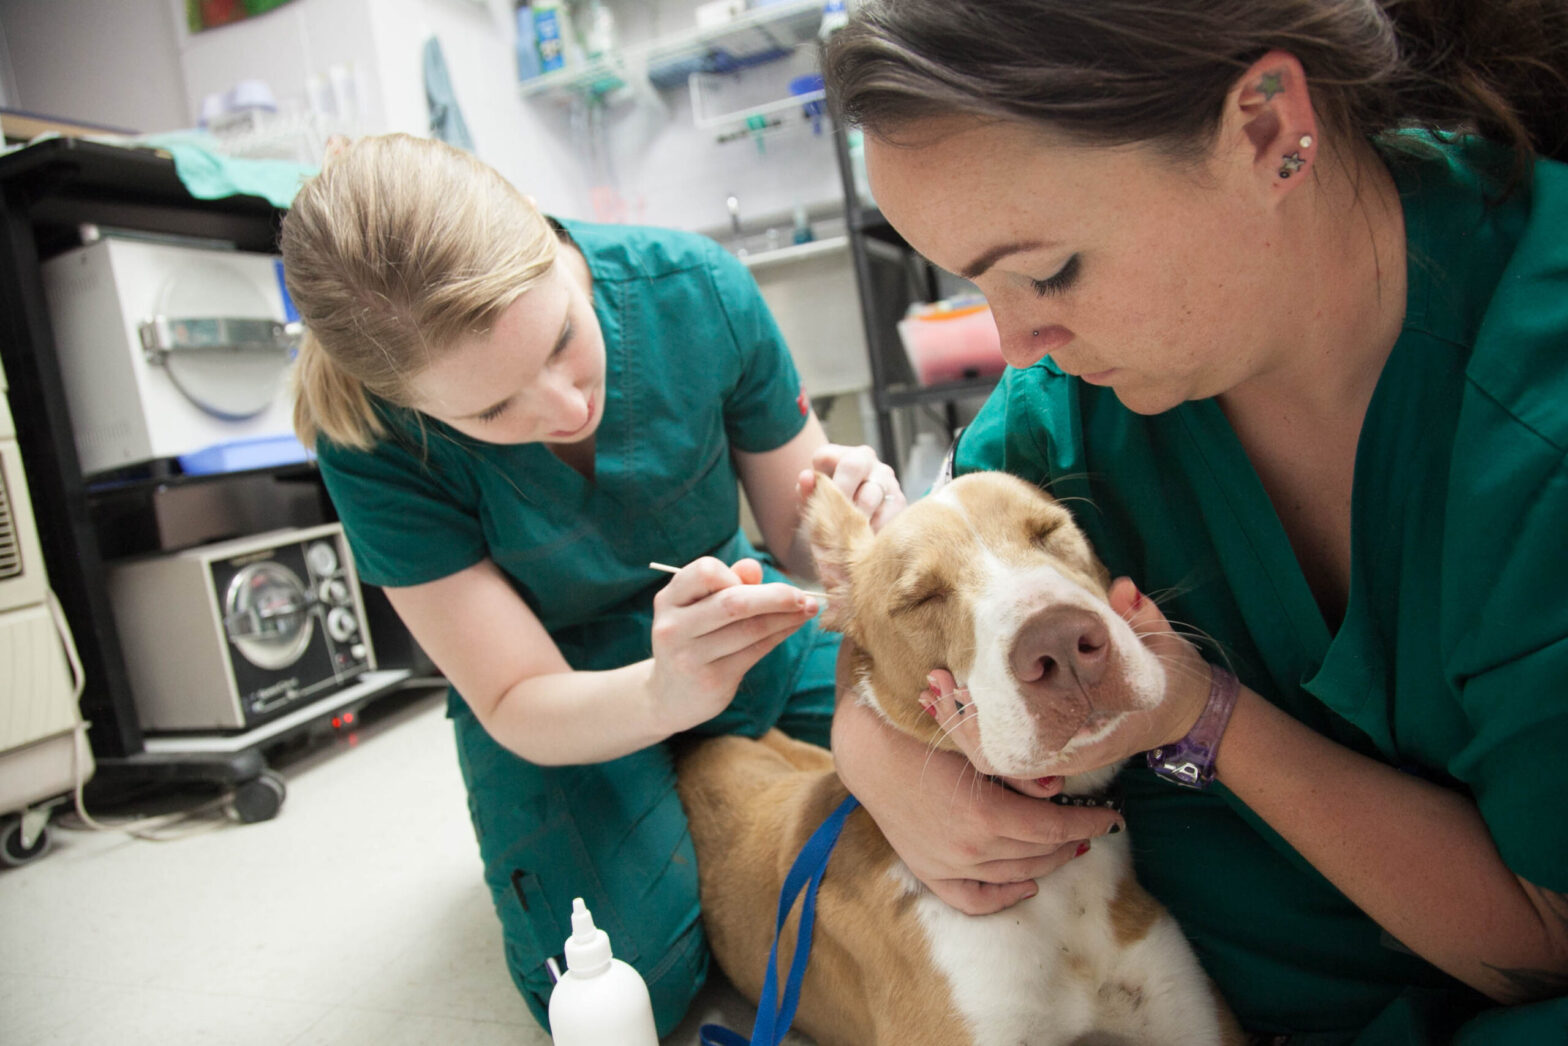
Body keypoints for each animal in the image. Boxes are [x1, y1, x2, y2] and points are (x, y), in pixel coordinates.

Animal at [680, 473, 1241, 1046]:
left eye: (1050, 531)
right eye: (920, 598)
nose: (1061, 643)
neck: (1064, 889)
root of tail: (703, 742)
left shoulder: (1199, 1021)